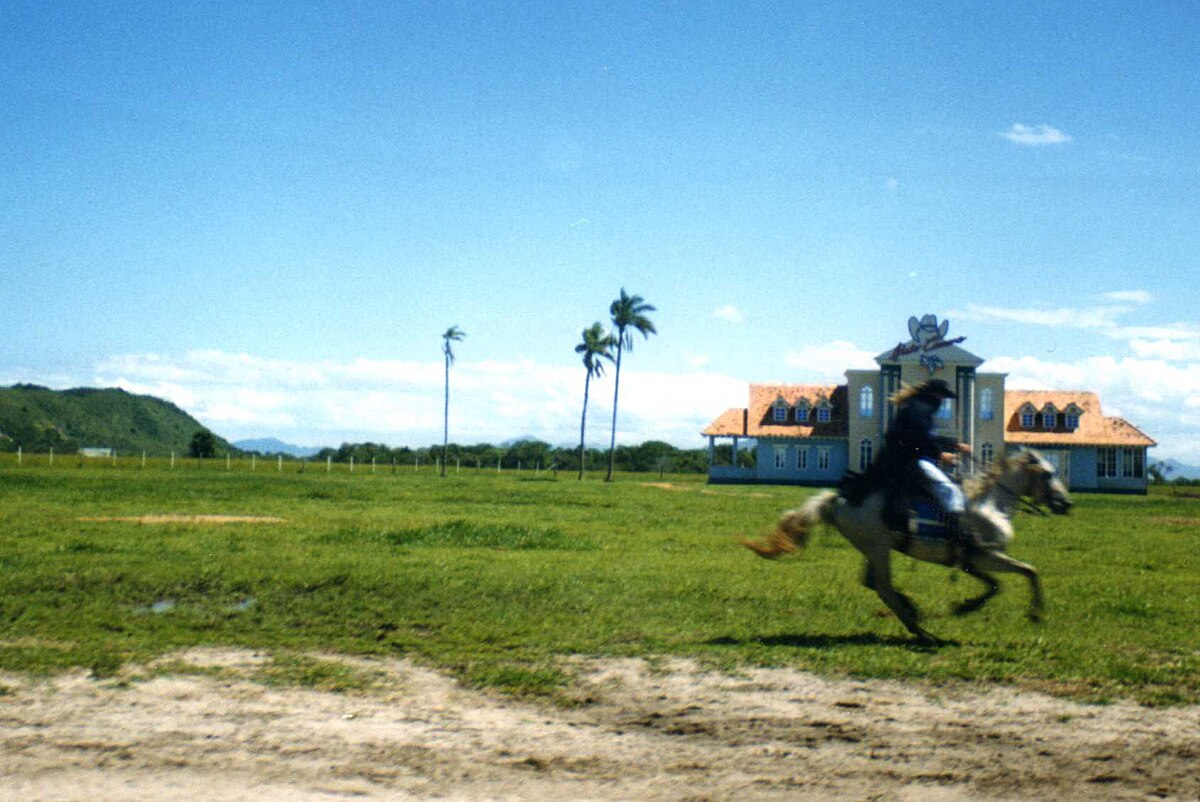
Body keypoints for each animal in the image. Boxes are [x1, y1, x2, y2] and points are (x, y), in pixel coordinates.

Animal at [744, 451, 1075, 643]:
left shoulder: (975, 562)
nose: (1066, 504)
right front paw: (1034, 613)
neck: (991, 505)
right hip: (879, 548)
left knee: (872, 582)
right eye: (1049, 473)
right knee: (883, 587)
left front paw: (966, 605)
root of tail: (839, 499)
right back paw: (920, 629)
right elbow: (1026, 572)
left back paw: (913, 612)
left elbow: (995, 584)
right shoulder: (988, 556)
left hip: (874, 549)